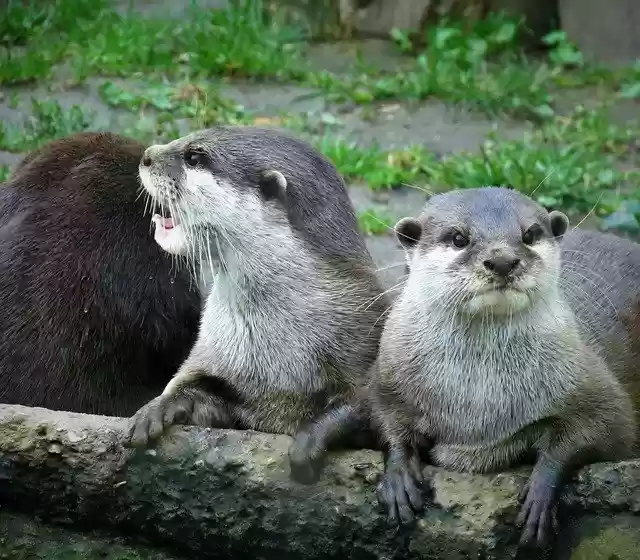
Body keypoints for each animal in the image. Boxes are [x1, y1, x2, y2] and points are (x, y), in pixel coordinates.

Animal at [122, 126, 388, 468]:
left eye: (194, 157)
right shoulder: (216, 358)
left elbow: (363, 407)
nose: (146, 156)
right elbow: (194, 388)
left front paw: (311, 439)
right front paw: (155, 408)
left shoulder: (362, 342)